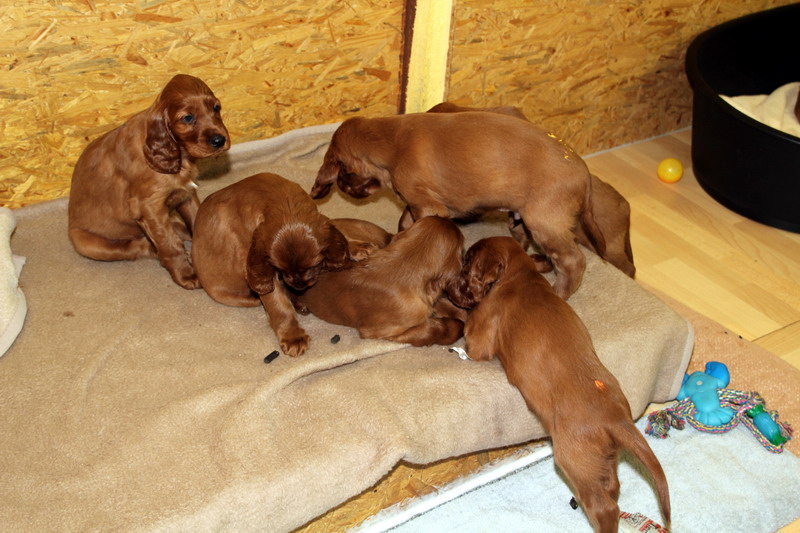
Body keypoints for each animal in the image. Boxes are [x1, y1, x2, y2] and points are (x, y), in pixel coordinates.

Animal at [68, 74, 230, 289]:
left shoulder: (185, 193)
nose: (220, 141)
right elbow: (169, 244)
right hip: (85, 242)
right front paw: (186, 274)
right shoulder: (149, 206)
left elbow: (197, 219)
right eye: (187, 118)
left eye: (216, 108)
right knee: (133, 247)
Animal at [192, 173, 352, 357]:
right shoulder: (260, 271)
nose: (298, 285)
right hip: (231, 296)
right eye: (280, 268)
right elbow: (278, 304)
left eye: (312, 266)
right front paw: (293, 337)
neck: (283, 201)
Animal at [310, 111, 606, 299]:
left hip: (544, 222)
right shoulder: (417, 201)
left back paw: (559, 293)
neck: (390, 140)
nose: (346, 190)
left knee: (572, 261)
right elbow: (404, 221)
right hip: (520, 219)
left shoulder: (427, 205)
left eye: (342, 174)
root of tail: (585, 175)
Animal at [447, 236, 670, 533]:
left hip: (573, 458)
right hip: (603, 458)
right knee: (612, 487)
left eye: (468, 262)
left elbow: (469, 336)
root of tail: (617, 418)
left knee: (605, 507)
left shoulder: (482, 334)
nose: (448, 286)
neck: (520, 275)